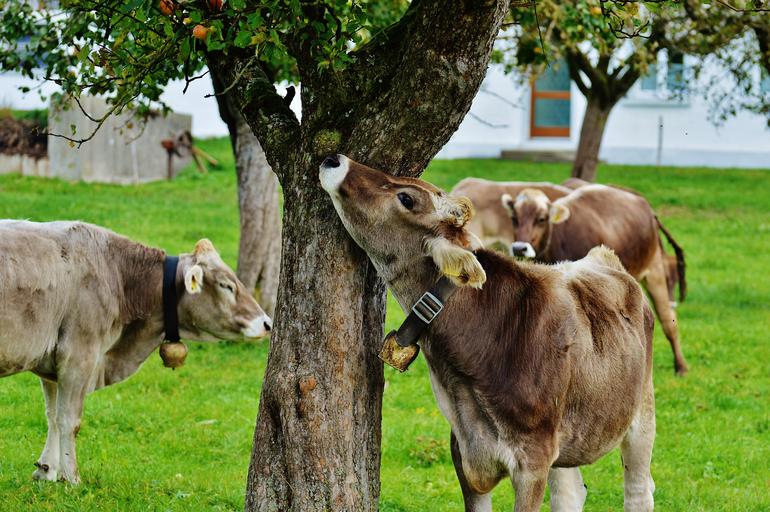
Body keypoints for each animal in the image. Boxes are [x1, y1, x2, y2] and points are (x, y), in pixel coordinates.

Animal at [0, 221, 272, 483]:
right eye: (226, 285)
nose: (267, 323)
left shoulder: (51, 360)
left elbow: (52, 415)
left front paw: (46, 470)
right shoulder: (78, 355)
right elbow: (69, 420)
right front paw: (71, 478)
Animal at [320, 155, 656, 512]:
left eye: (407, 199)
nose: (335, 159)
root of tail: (601, 257)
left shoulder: (532, 461)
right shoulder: (464, 451)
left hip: (641, 413)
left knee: (639, 488)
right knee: (570, 493)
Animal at [501, 184, 688, 375]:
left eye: (541, 219)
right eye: (514, 218)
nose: (519, 248)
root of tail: (645, 206)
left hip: (653, 270)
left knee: (668, 320)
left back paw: (680, 366)